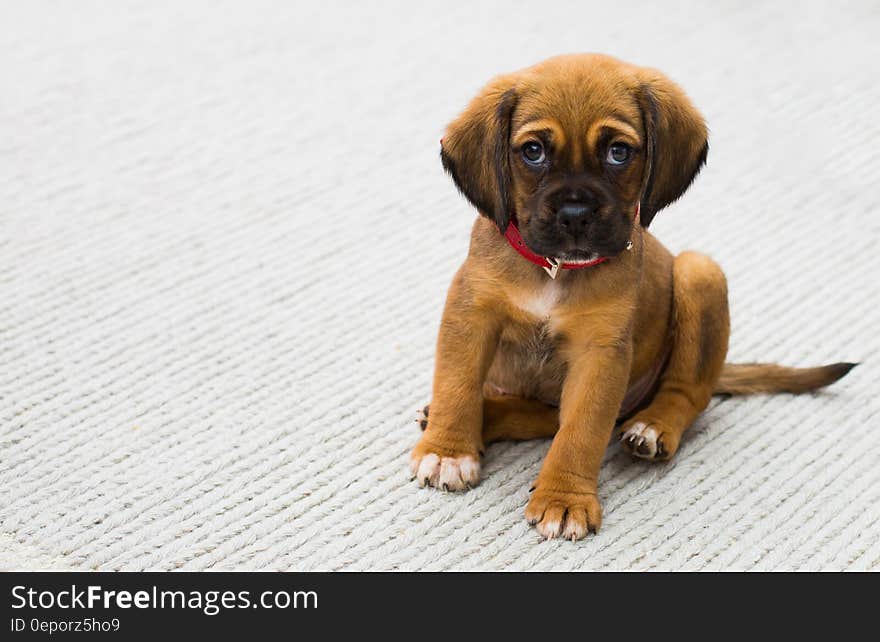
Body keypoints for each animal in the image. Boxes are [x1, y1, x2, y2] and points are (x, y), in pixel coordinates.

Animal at [410, 53, 852, 540]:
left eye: (618, 152)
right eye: (533, 151)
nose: (575, 215)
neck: (555, 271)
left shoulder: (599, 355)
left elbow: (580, 432)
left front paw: (564, 498)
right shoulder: (470, 316)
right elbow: (457, 385)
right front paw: (449, 450)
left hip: (699, 272)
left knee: (687, 393)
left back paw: (654, 427)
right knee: (541, 415)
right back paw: (479, 416)